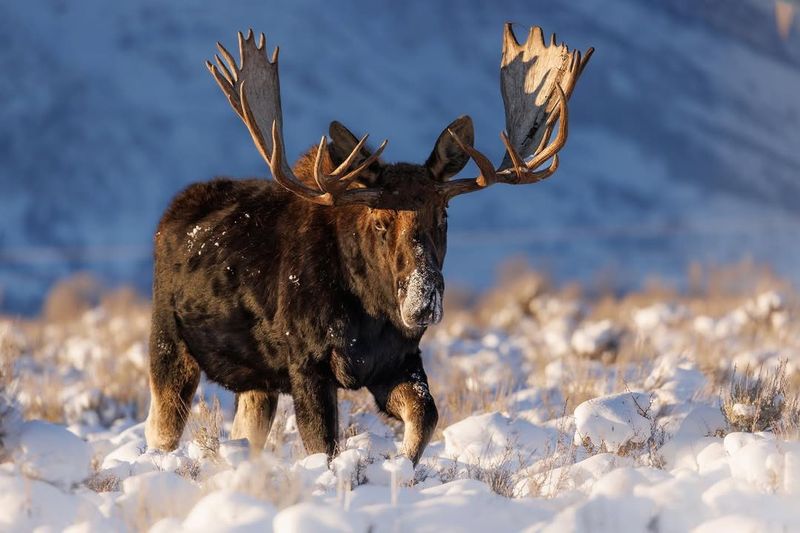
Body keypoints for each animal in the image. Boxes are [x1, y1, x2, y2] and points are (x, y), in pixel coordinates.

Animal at [145, 22, 592, 464]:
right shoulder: (307, 364)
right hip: (169, 344)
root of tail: (171, 212)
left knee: (244, 430)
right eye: (379, 221)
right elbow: (324, 446)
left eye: (443, 215)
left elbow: (425, 417)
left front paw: (400, 467)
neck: (369, 313)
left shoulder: (398, 361)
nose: (423, 299)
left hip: (258, 382)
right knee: (160, 429)